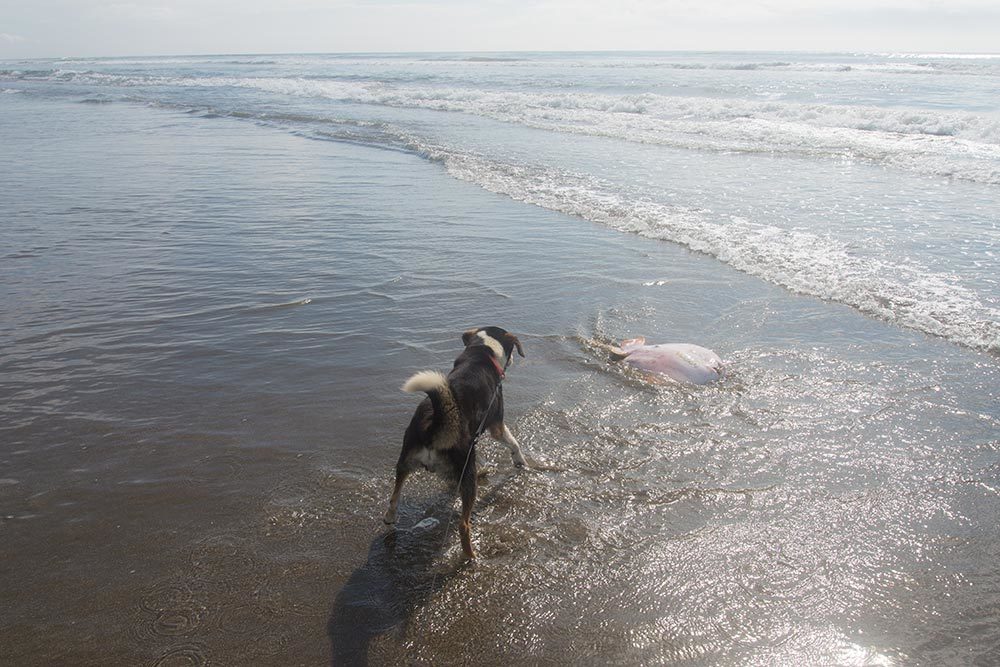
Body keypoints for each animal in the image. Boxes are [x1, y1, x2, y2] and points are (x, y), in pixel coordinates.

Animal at [380, 328, 528, 560]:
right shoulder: (496, 424)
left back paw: (390, 517)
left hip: (406, 460)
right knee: (463, 524)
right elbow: (513, 443)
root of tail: (435, 424)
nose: (513, 359)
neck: (482, 351)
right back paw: (471, 557)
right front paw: (520, 461)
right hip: (467, 472)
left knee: (395, 496)